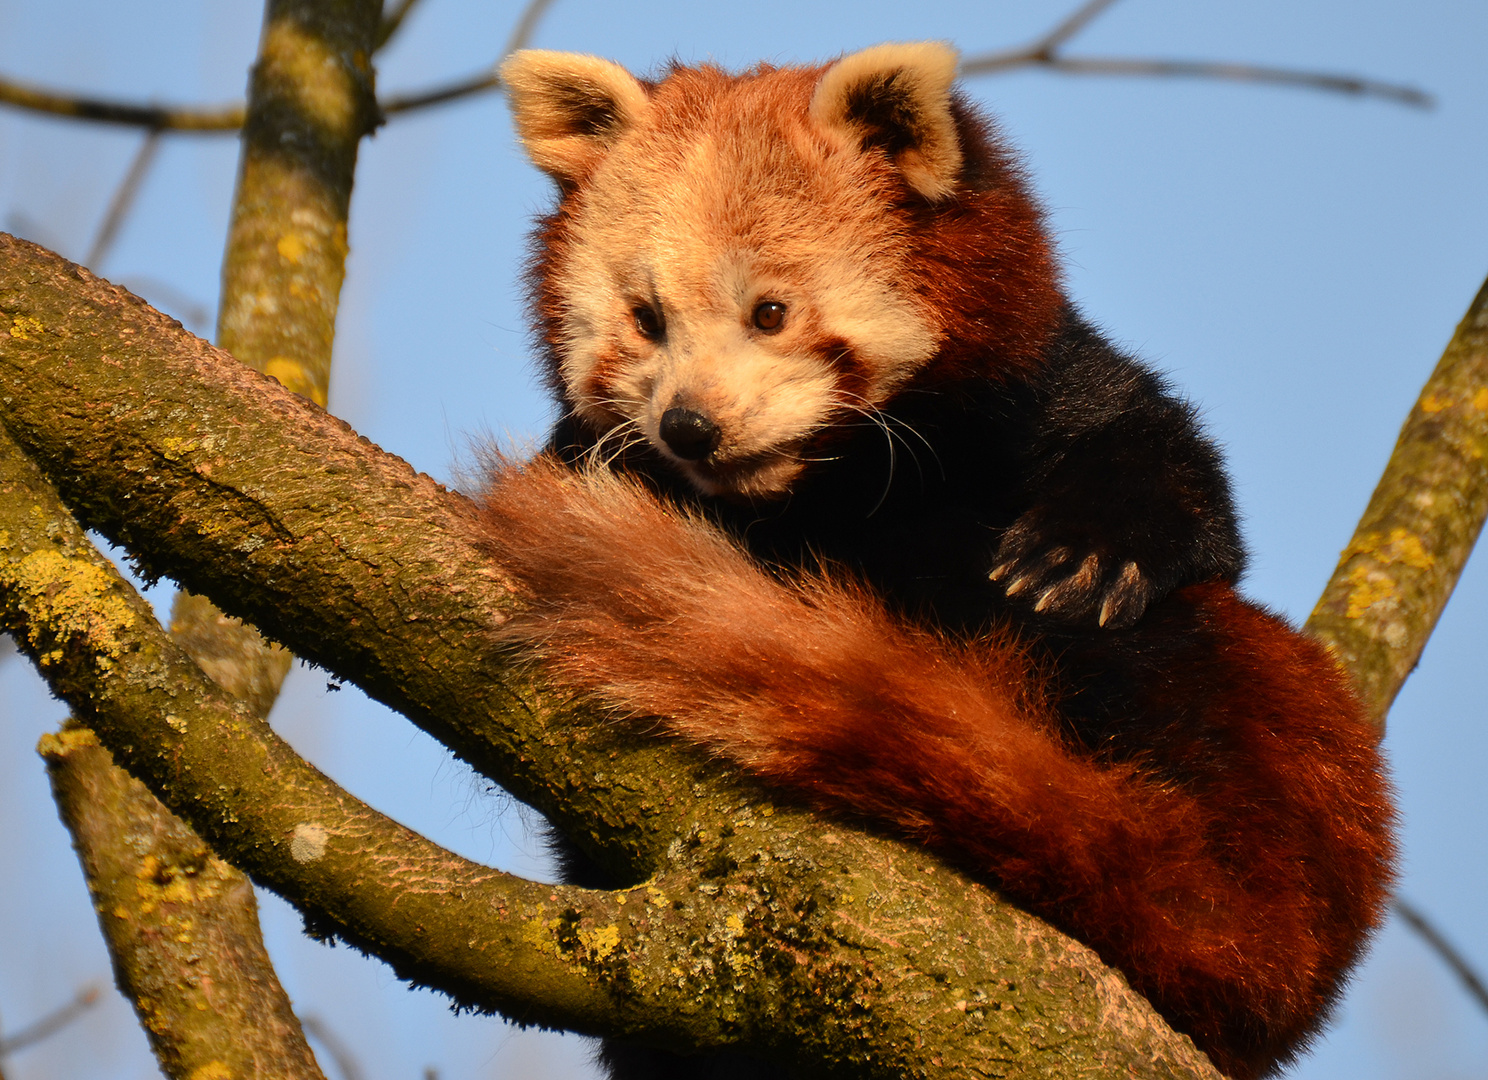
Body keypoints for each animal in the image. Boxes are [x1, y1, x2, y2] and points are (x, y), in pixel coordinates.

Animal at [479, 42, 1392, 1080]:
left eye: (770, 311)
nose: (689, 426)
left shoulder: (1039, 391)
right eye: (646, 319)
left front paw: (1086, 555)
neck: (815, 497)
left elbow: (1170, 475)